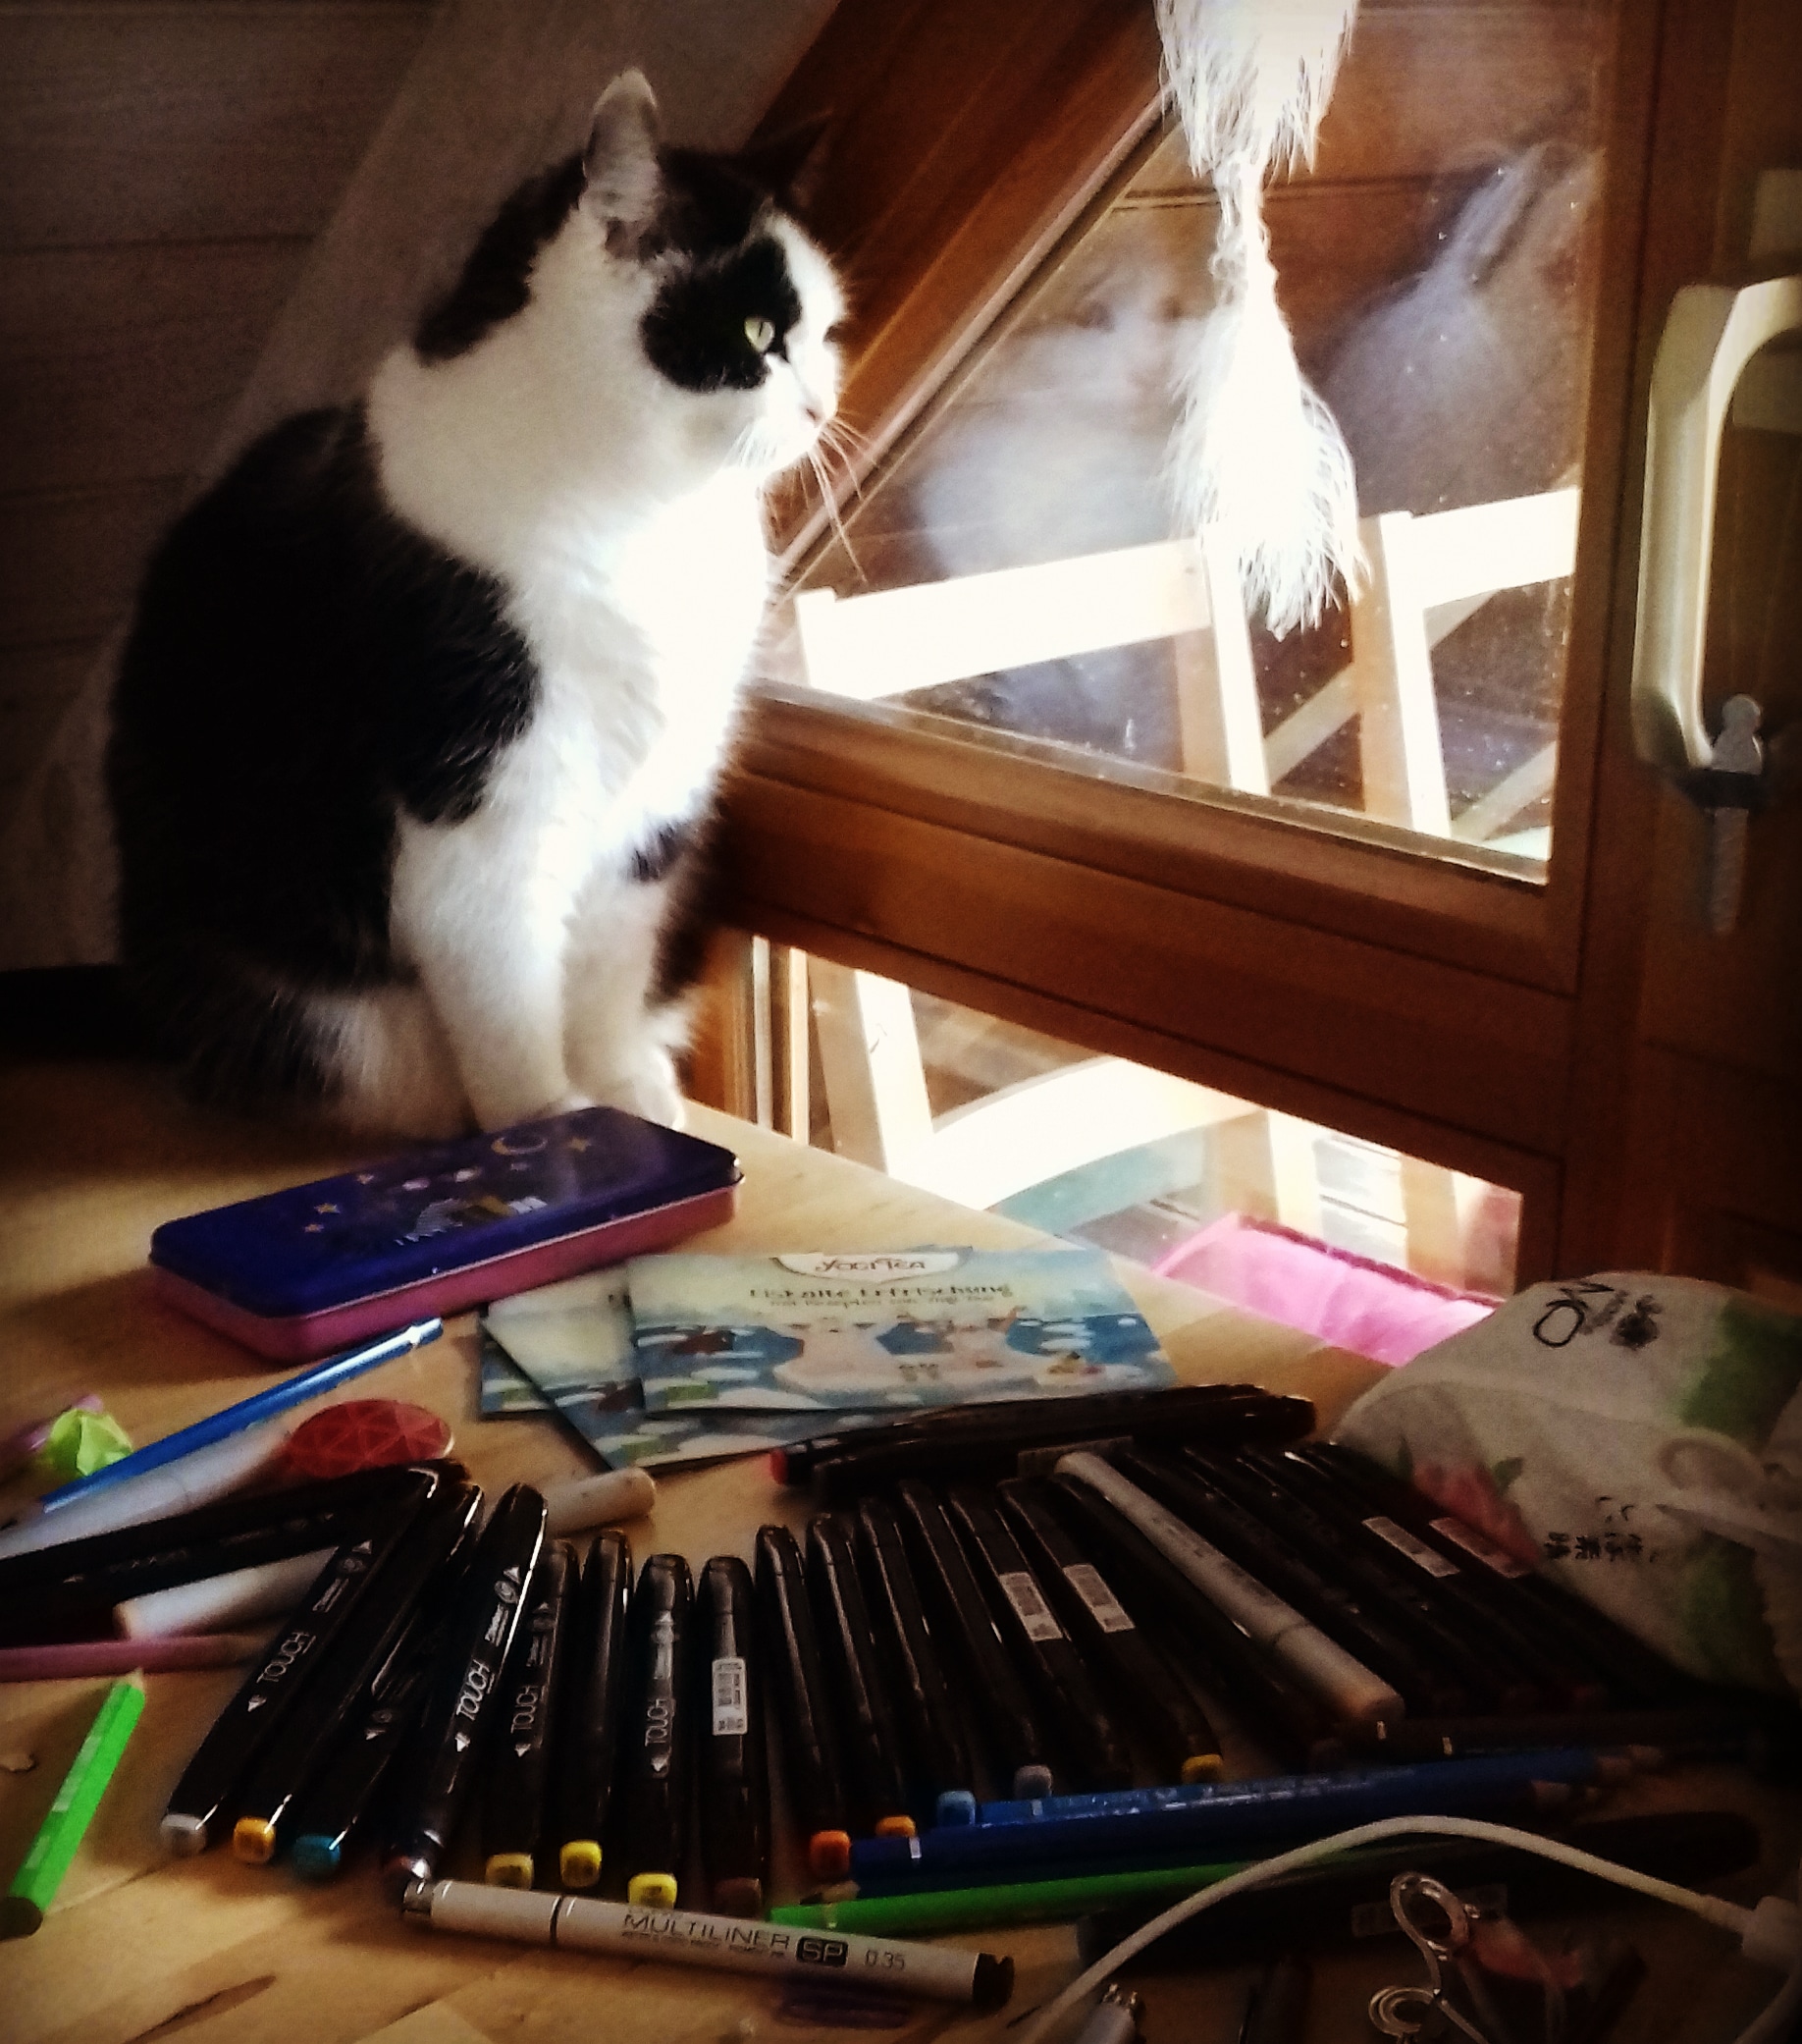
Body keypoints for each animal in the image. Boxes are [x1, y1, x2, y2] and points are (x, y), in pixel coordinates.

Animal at [107, 72, 844, 1138]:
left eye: (827, 335)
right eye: (756, 334)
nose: (826, 405)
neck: (646, 513)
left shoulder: (658, 798)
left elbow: (610, 966)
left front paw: (624, 1094)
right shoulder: (479, 808)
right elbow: (505, 993)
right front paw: (552, 1123)